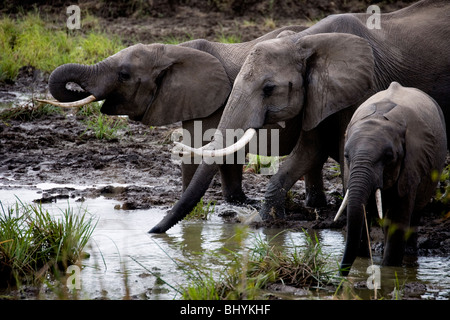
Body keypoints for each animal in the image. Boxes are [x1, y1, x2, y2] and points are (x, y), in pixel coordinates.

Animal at [152, 0, 450, 235]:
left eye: (269, 89)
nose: (153, 231)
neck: (304, 41)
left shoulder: (362, 88)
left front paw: (352, 222)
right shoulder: (317, 96)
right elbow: (310, 149)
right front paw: (267, 221)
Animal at [334, 82, 446, 276]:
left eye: (389, 157)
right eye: (346, 156)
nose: (340, 275)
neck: (379, 118)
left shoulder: (413, 163)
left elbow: (399, 216)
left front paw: (389, 269)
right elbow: (364, 211)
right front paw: (363, 262)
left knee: (414, 213)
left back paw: (409, 253)